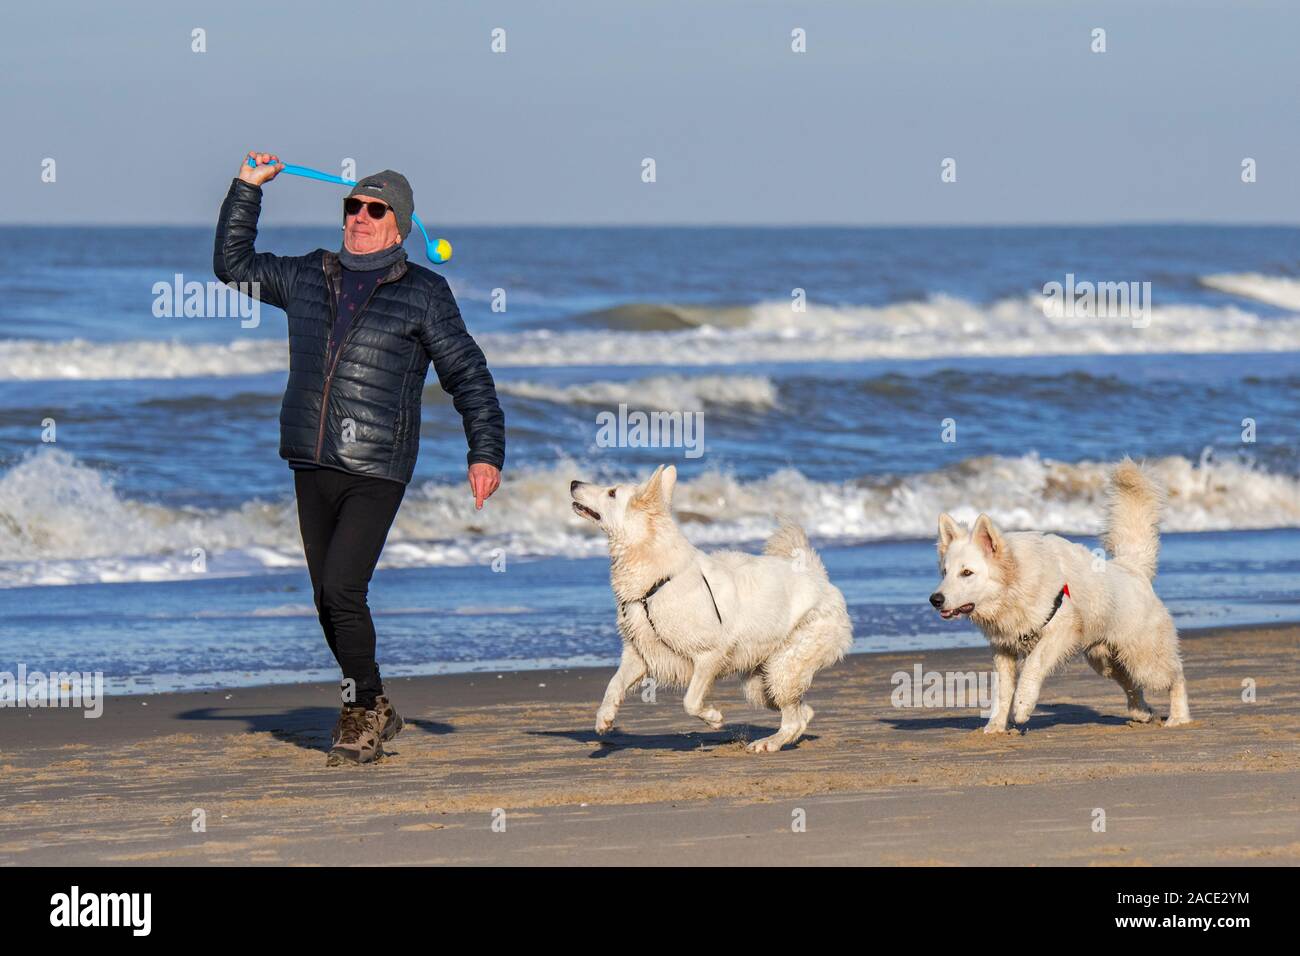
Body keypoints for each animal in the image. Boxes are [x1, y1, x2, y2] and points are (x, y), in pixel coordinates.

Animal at [930, 457, 1190, 733]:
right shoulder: (1003, 649)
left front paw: (1022, 705)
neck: (1015, 584)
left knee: (1175, 675)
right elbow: (1002, 691)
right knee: (1131, 684)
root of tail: (1133, 568)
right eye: (945, 572)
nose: (935, 600)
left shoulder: (1061, 627)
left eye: (967, 572)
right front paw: (996, 726)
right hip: (1105, 660)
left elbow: (1033, 665)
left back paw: (1179, 717)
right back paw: (1141, 712)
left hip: (1144, 659)